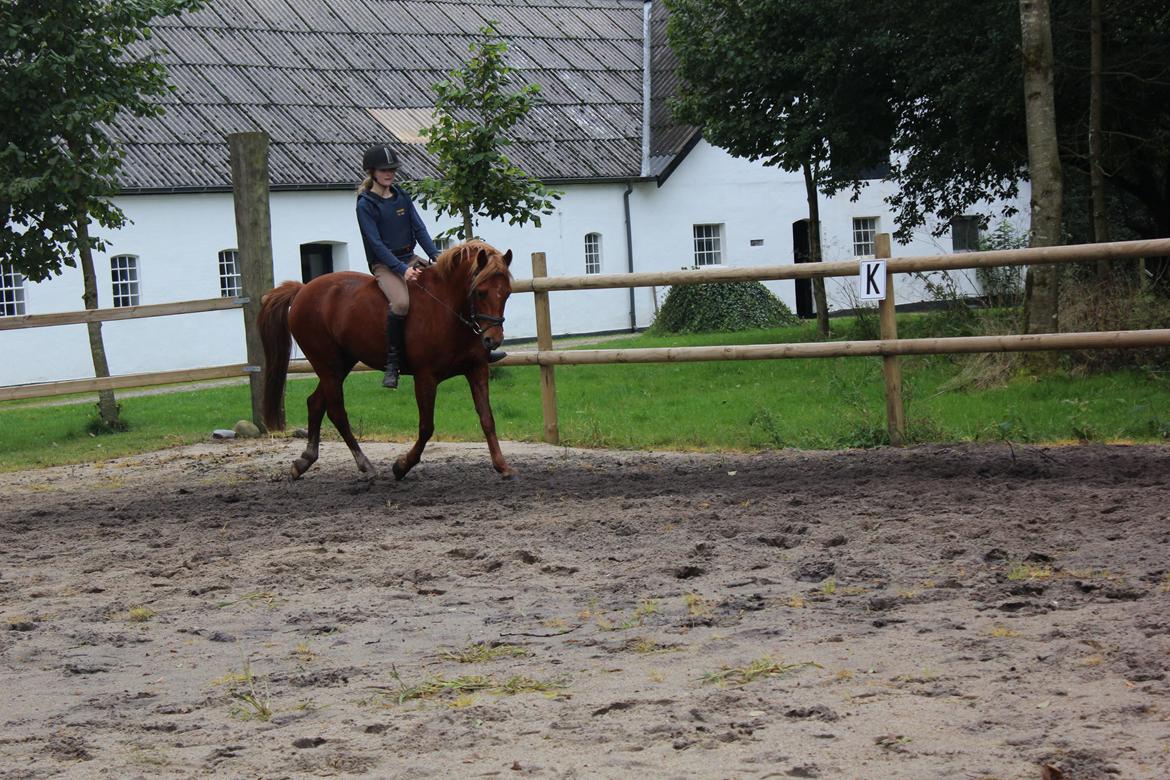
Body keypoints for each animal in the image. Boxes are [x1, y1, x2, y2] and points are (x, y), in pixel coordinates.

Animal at [260, 240, 517, 479]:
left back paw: (304, 461)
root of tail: (302, 289)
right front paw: (401, 466)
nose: (493, 340)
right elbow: (426, 427)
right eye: (480, 292)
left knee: (315, 403)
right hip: (327, 363)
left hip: (341, 364)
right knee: (336, 411)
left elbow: (487, 418)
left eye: (506, 293)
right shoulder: (425, 377)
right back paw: (365, 465)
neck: (448, 308)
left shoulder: (477, 369)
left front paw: (502, 466)